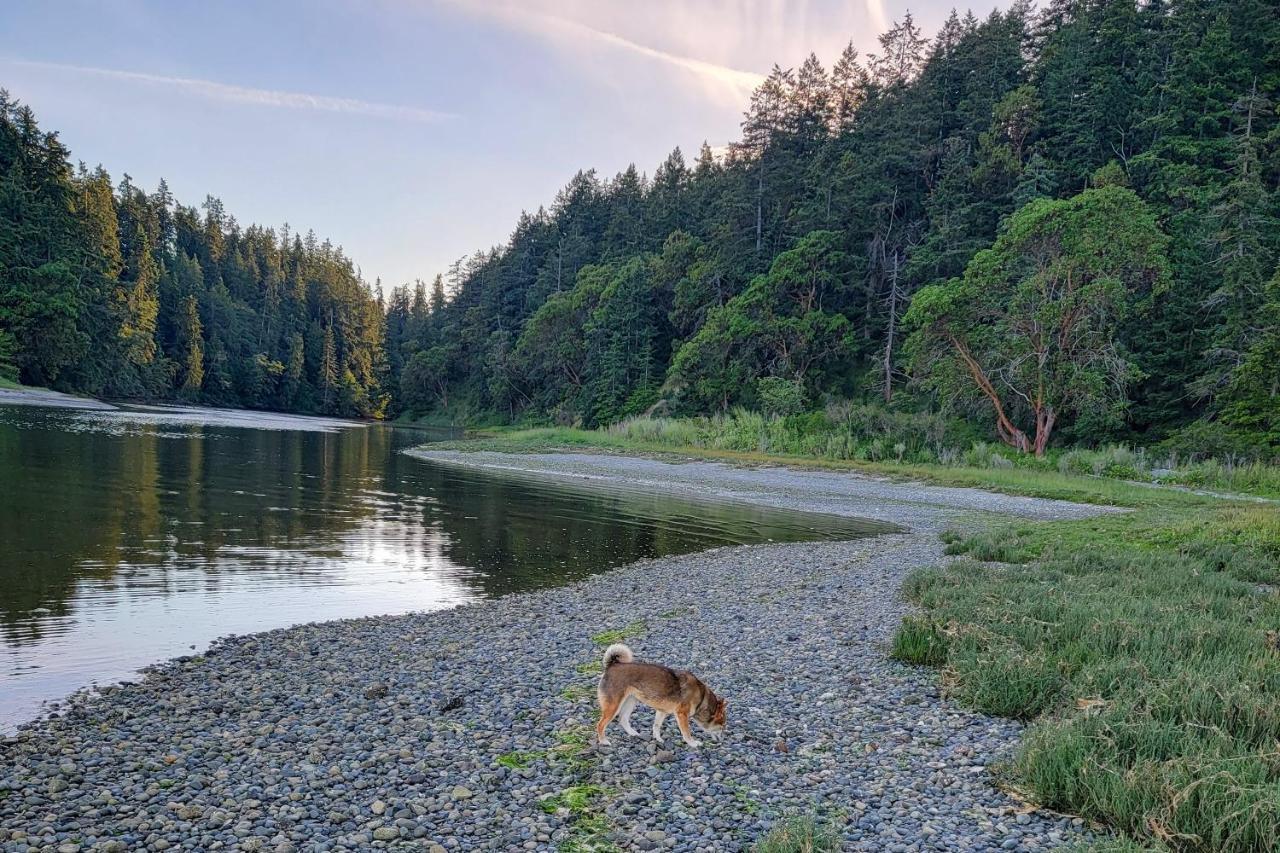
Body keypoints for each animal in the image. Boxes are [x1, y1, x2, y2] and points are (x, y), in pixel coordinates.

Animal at [593, 640, 727, 747]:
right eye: (722, 725)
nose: (722, 740)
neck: (701, 698)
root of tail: (612, 666)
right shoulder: (682, 715)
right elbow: (686, 733)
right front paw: (693, 743)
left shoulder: (662, 711)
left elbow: (656, 726)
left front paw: (658, 739)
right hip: (613, 707)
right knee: (600, 724)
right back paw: (604, 741)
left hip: (631, 701)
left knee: (623, 719)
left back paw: (633, 733)